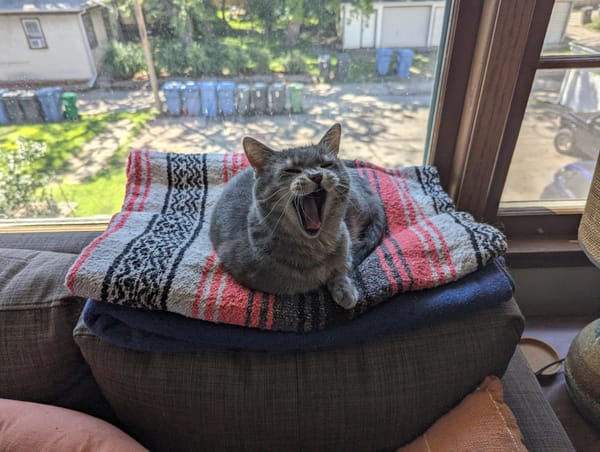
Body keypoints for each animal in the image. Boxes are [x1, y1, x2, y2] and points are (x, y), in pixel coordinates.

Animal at [210, 122, 384, 308]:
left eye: (326, 165)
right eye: (291, 170)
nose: (316, 175)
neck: (317, 246)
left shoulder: (345, 237)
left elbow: (342, 266)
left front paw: (344, 288)